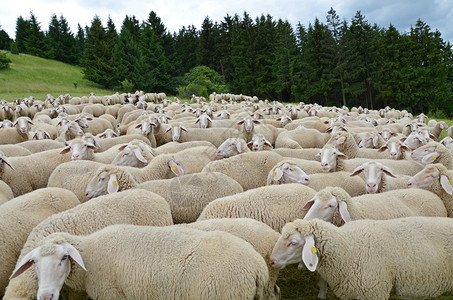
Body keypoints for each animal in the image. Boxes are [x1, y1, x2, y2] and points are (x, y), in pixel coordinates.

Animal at [10, 224, 268, 300]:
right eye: (34, 262)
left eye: (64, 257)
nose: (46, 297)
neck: (91, 253)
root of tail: (257, 265)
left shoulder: (112, 295)